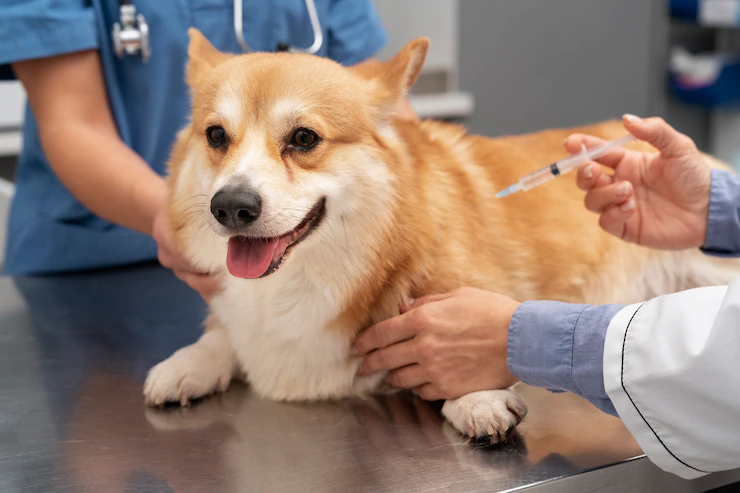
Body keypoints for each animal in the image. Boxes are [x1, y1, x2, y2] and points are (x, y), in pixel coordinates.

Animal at [145, 28, 740, 440]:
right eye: (216, 136)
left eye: (304, 138)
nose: (231, 207)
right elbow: (220, 335)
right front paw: (186, 365)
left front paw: (476, 400)